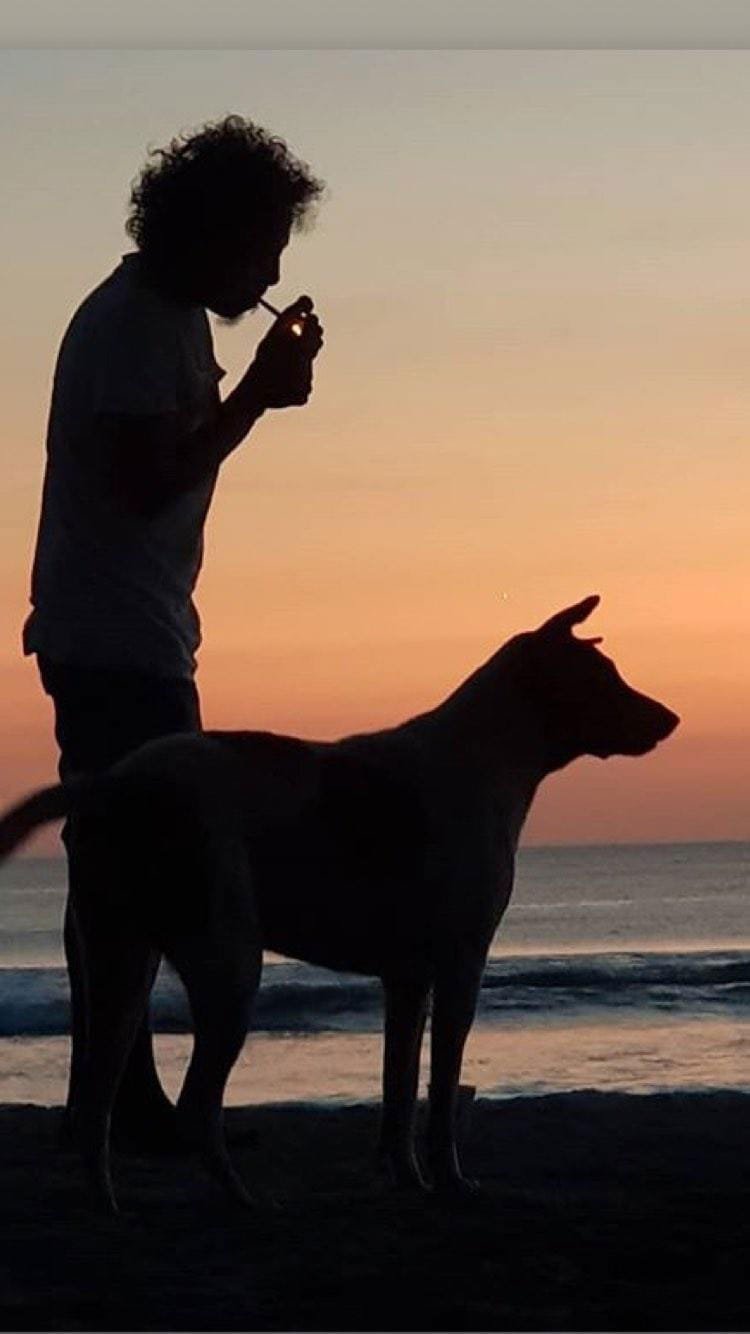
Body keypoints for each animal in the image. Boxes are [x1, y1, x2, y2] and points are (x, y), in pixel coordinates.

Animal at [0, 595, 679, 1211]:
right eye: (603, 677)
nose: (670, 719)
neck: (484, 755)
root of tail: (114, 783)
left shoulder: (407, 981)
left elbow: (398, 1091)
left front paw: (406, 1177)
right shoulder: (461, 968)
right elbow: (440, 1091)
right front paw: (449, 1180)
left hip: (120, 966)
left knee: (95, 1101)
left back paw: (107, 1204)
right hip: (228, 968)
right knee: (195, 1106)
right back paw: (241, 1199)